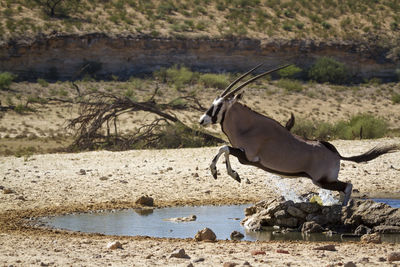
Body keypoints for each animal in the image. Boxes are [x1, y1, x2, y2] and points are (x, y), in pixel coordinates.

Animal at [198, 63, 398, 206]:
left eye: (219, 106)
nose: (202, 120)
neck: (248, 127)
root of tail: (336, 153)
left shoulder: (247, 158)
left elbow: (224, 148)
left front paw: (221, 172)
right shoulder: (242, 154)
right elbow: (224, 149)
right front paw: (231, 175)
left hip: (322, 181)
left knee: (347, 185)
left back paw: (341, 208)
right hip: (323, 181)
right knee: (344, 187)